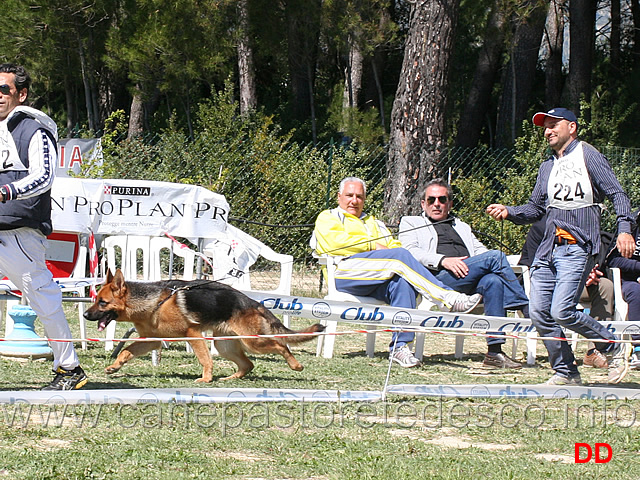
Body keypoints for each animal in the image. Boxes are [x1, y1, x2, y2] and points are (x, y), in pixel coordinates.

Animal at [84, 272, 324, 380]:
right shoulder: (151, 340)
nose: (86, 314)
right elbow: (126, 351)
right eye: (95, 300)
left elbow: (204, 359)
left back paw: (295, 365)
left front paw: (206, 378)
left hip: (252, 342)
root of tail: (253, 302)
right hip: (224, 345)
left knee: (280, 345)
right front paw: (114, 366)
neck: (155, 303)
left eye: (102, 302)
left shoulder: (192, 334)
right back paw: (230, 379)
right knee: (248, 364)